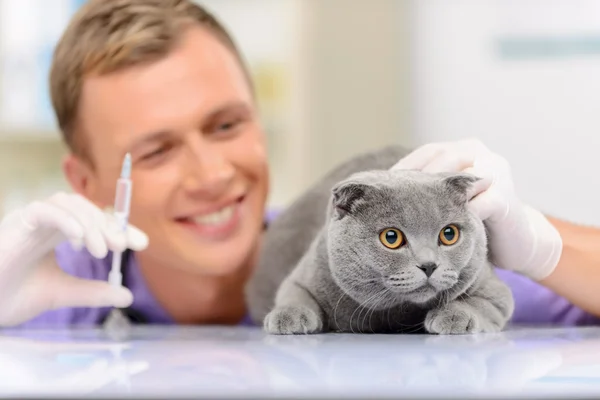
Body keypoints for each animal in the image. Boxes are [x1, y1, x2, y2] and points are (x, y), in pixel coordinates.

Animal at [260, 169, 512, 334]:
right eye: (391, 237)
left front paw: (453, 316)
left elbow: (481, 302)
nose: (429, 265)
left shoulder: (492, 286)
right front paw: (288, 317)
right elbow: (294, 294)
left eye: (449, 234)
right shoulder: (309, 273)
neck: (396, 314)